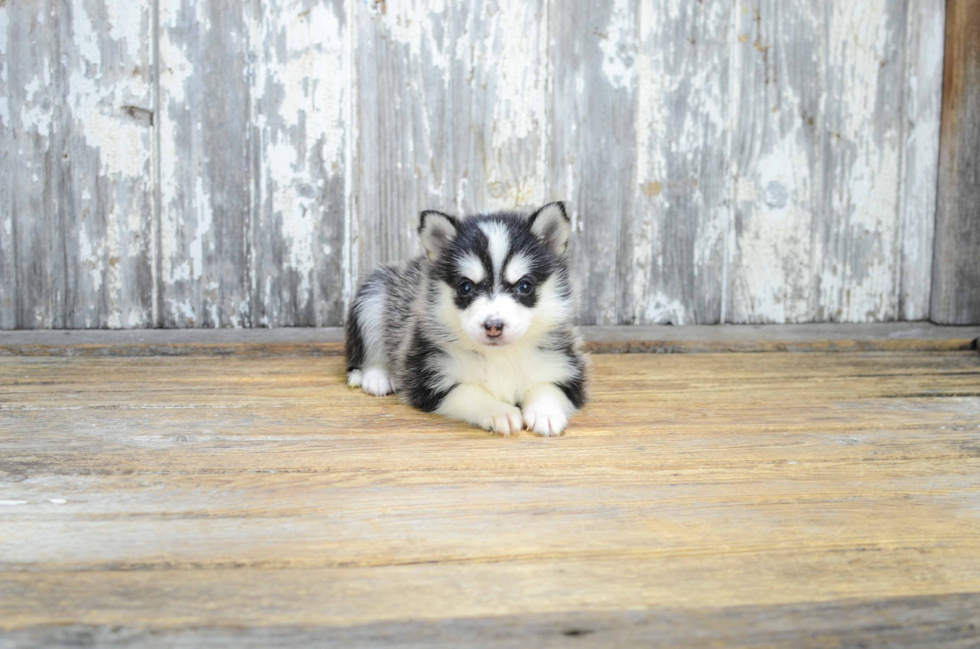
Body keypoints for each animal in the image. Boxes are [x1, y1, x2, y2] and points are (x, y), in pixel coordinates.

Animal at [344, 202, 584, 436]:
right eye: (466, 287)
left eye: (524, 286)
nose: (493, 326)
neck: (498, 356)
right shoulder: (428, 377)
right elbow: (471, 392)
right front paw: (500, 412)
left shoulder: (564, 365)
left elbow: (548, 387)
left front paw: (546, 413)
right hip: (373, 296)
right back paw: (377, 377)